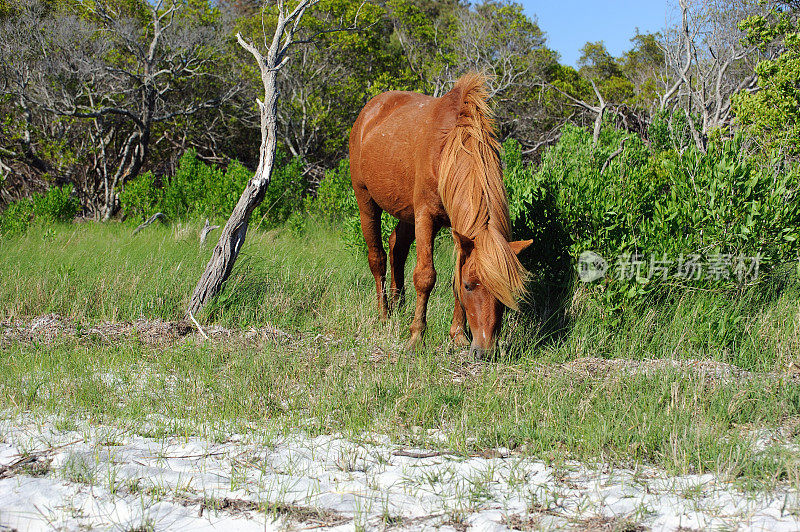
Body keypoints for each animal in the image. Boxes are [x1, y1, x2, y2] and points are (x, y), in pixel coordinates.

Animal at [350, 70, 532, 354]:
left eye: (506, 291)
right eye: (470, 285)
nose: (485, 350)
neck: (449, 148)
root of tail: (369, 111)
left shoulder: (458, 228)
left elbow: (452, 275)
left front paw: (457, 335)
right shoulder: (426, 217)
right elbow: (425, 276)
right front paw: (416, 336)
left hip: (406, 212)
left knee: (396, 247)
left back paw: (399, 305)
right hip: (366, 201)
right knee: (377, 257)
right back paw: (384, 314)